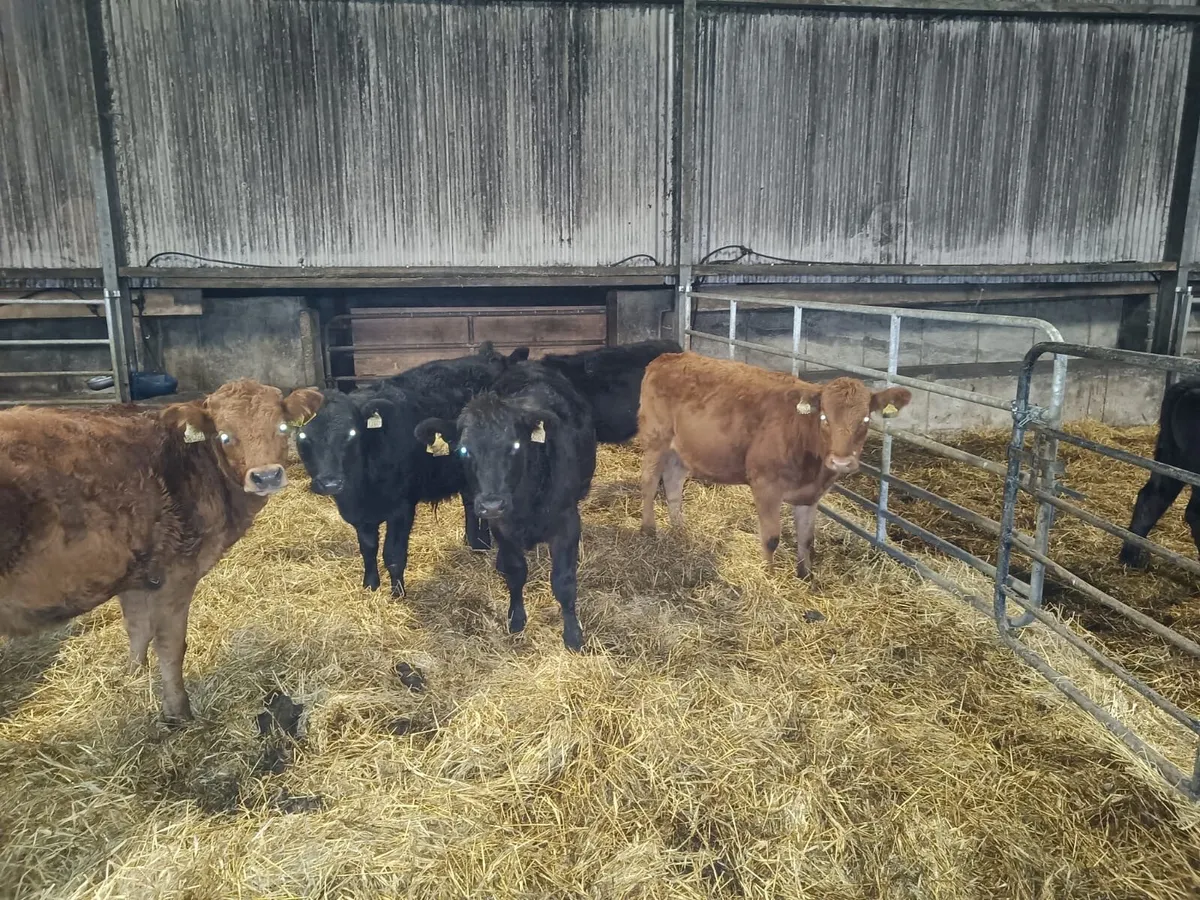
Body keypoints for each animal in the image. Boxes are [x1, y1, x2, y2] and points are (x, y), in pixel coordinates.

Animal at [0, 379, 322, 721]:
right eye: (224, 435)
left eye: (282, 426)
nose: (266, 476)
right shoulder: (176, 573)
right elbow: (170, 645)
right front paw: (178, 712)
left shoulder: (135, 572)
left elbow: (137, 629)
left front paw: (132, 677)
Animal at [295, 343, 523, 598]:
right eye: (303, 437)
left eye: (351, 434)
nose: (330, 483)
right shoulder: (360, 515)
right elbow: (368, 549)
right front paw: (370, 585)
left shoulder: (402, 508)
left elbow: (393, 555)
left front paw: (397, 594)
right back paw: (476, 542)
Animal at [415, 362, 597, 650]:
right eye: (464, 450)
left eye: (515, 445)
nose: (491, 504)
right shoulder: (502, 527)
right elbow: (516, 572)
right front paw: (516, 619)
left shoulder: (567, 521)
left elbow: (563, 582)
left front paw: (573, 635)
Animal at [636, 352, 912, 578]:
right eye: (824, 418)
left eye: (865, 420)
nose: (841, 461)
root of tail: (668, 357)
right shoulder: (765, 486)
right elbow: (771, 538)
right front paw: (768, 575)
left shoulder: (810, 495)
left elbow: (807, 539)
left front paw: (806, 575)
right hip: (656, 438)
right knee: (649, 481)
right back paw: (649, 528)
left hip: (682, 449)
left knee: (673, 481)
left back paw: (679, 528)